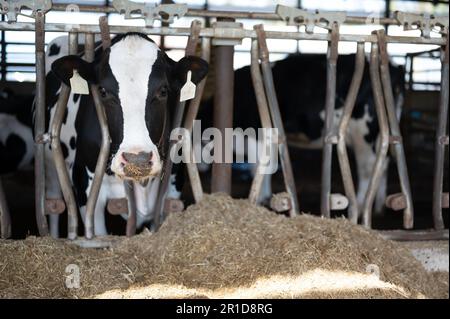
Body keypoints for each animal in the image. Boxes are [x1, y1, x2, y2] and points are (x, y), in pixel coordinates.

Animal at [43, 33, 208, 238]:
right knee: (54, 204)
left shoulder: (173, 187)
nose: (137, 160)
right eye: (103, 91)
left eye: (163, 91)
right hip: (51, 165)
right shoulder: (85, 187)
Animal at [197, 53, 404, 218]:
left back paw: (360, 208)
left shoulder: (257, 133)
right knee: (382, 163)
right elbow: (266, 166)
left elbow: (258, 167)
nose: (199, 167)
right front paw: (265, 197)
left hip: (364, 135)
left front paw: (259, 199)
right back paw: (378, 206)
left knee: (367, 169)